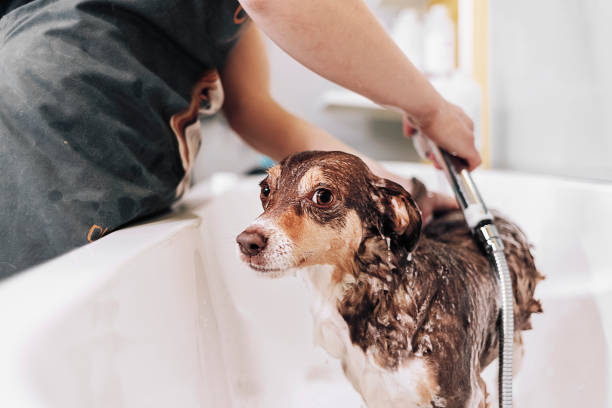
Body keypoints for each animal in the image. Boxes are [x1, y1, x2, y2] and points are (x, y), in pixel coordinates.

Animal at [237, 151, 544, 408]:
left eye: (323, 196)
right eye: (265, 189)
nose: (246, 242)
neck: (384, 294)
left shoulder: (461, 396)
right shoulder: (379, 392)